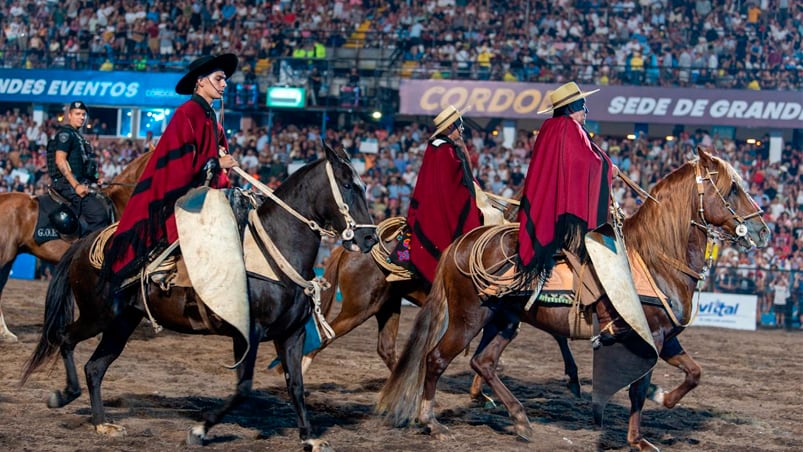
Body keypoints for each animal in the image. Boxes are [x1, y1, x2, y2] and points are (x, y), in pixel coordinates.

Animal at [21, 145, 380, 444]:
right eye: (348, 186)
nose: (369, 239)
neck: (273, 250)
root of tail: (85, 243)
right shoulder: (248, 333)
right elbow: (243, 389)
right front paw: (199, 430)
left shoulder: (291, 334)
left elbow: (296, 386)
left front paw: (308, 437)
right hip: (98, 315)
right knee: (65, 338)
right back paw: (64, 395)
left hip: (122, 322)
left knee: (95, 367)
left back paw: (101, 422)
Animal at [378, 147, 772, 448]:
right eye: (732, 190)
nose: (763, 230)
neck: (656, 258)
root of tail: (463, 242)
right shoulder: (651, 337)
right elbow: (639, 388)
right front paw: (637, 439)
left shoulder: (667, 337)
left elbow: (694, 374)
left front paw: (663, 399)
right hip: (468, 318)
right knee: (436, 359)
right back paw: (431, 422)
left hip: (504, 320)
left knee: (484, 363)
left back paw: (520, 420)